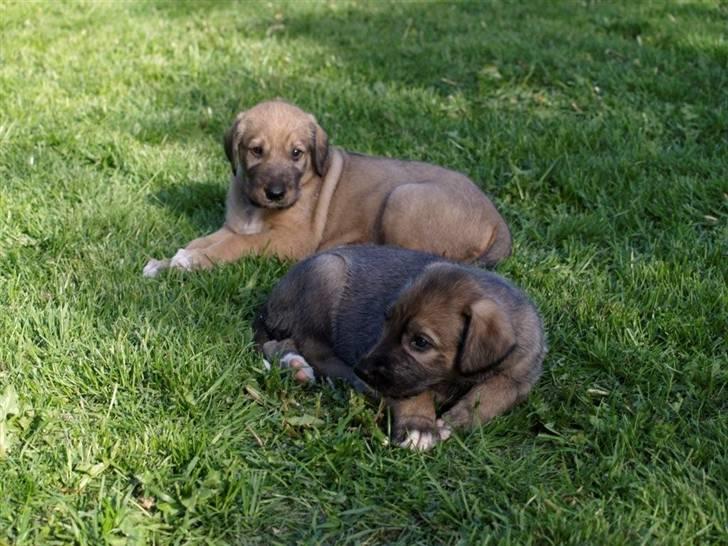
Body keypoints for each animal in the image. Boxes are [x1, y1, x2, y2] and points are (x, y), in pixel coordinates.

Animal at [144, 99, 512, 276]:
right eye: (256, 150)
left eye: (297, 154)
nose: (275, 194)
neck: (255, 208)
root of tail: (498, 220)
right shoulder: (233, 225)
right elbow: (204, 240)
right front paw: (169, 261)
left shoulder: (292, 240)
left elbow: (237, 245)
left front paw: (194, 261)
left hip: (404, 197)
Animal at [253, 244, 544, 448]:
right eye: (386, 322)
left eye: (420, 342)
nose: (363, 370)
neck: (455, 377)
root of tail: (268, 305)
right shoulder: (396, 375)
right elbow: (412, 393)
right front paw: (419, 426)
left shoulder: (517, 376)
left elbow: (490, 396)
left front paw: (455, 420)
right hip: (327, 271)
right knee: (313, 348)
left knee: (280, 343)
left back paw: (296, 364)